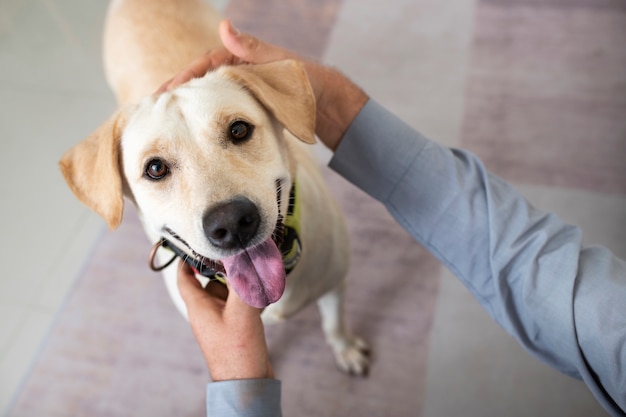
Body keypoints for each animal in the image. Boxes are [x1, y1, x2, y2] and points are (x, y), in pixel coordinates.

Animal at [59, 0, 368, 374]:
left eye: (239, 130)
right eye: (155, 168)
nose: (232, 223)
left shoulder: (336, 281)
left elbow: (334, 322)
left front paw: (346, 349)